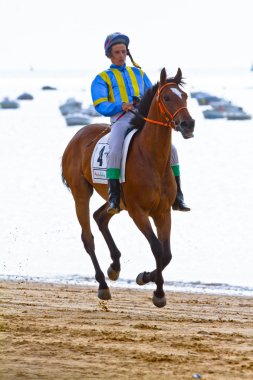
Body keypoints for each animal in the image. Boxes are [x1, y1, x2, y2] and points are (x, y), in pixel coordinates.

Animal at [61, 67, 196, 306]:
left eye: (185, 96)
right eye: (167, 97)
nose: (188, 124)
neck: (152, 159)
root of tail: (77, 135)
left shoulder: (163, 212)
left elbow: (167, 254)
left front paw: (147, 278)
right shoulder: (138, 212)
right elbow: (157, 249)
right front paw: (157, 291)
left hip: (116, 202)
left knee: (100, 217)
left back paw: (114, 267)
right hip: (81, 194)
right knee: (88, 238)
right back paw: (103, 285)